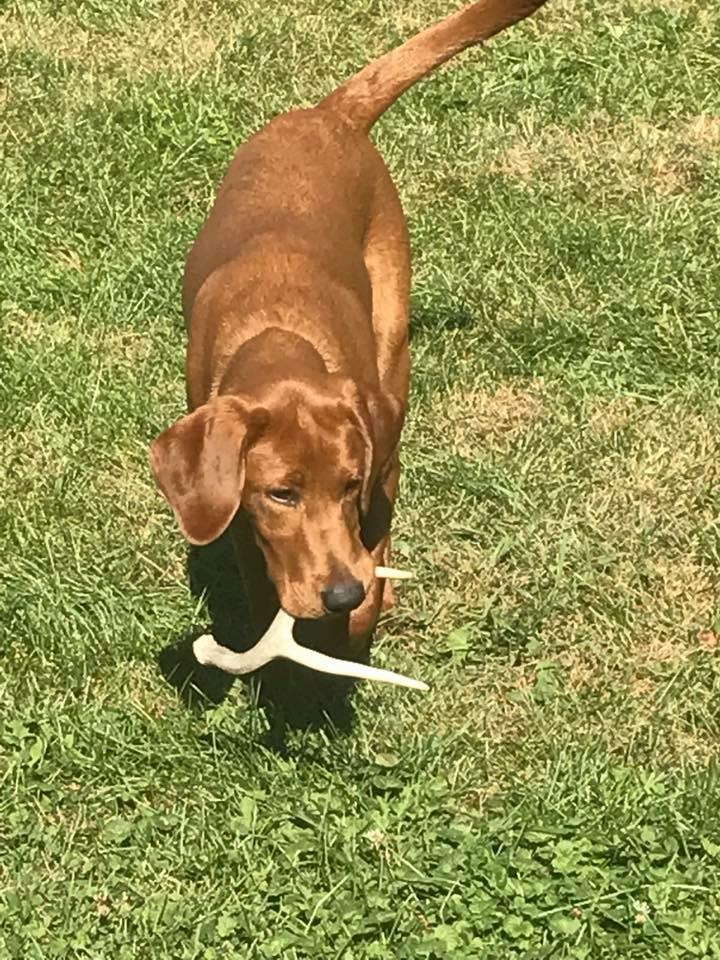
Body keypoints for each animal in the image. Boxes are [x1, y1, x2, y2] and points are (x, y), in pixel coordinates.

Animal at [150, 0, 544, 676]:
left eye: (349, 484)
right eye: (281, 494)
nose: (340, 593)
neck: (278, 336)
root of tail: (328, 113)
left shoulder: (382, 474)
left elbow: (373, 553)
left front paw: (357, 624)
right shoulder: (241, 521)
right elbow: (262, 583)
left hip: (393, 328)